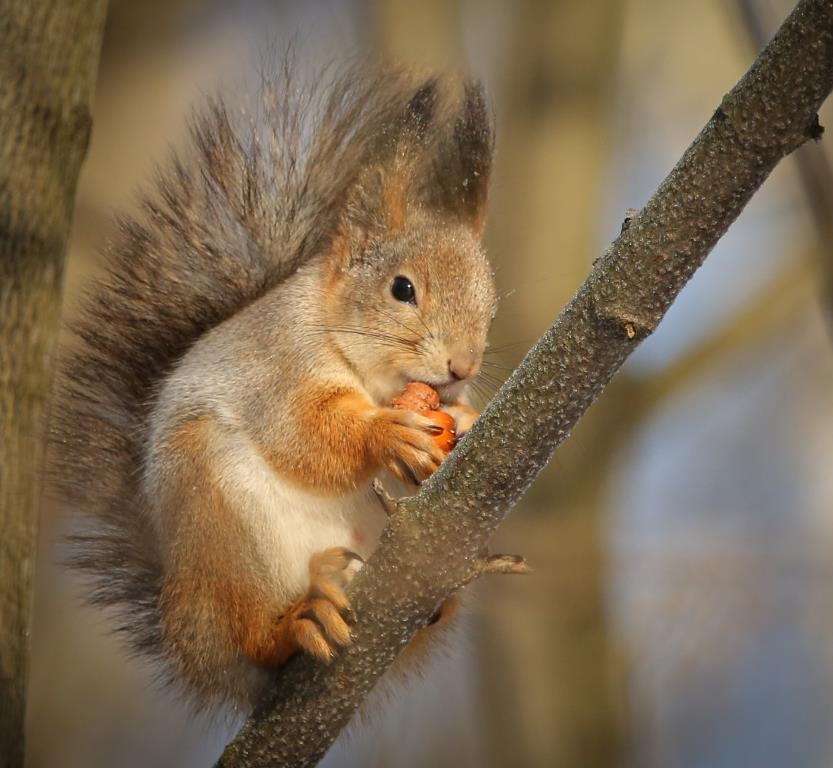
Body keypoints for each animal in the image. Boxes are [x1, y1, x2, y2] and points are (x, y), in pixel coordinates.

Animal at [52, 63, 498, 712]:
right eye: (402, 289)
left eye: (490, 303)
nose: (463, 367)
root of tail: (190, 641)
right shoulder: (278, 365)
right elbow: (303, 432)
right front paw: (386, 435)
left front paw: (462, 419)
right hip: (220, 519)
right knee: (253, 634)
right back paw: (294, 622)